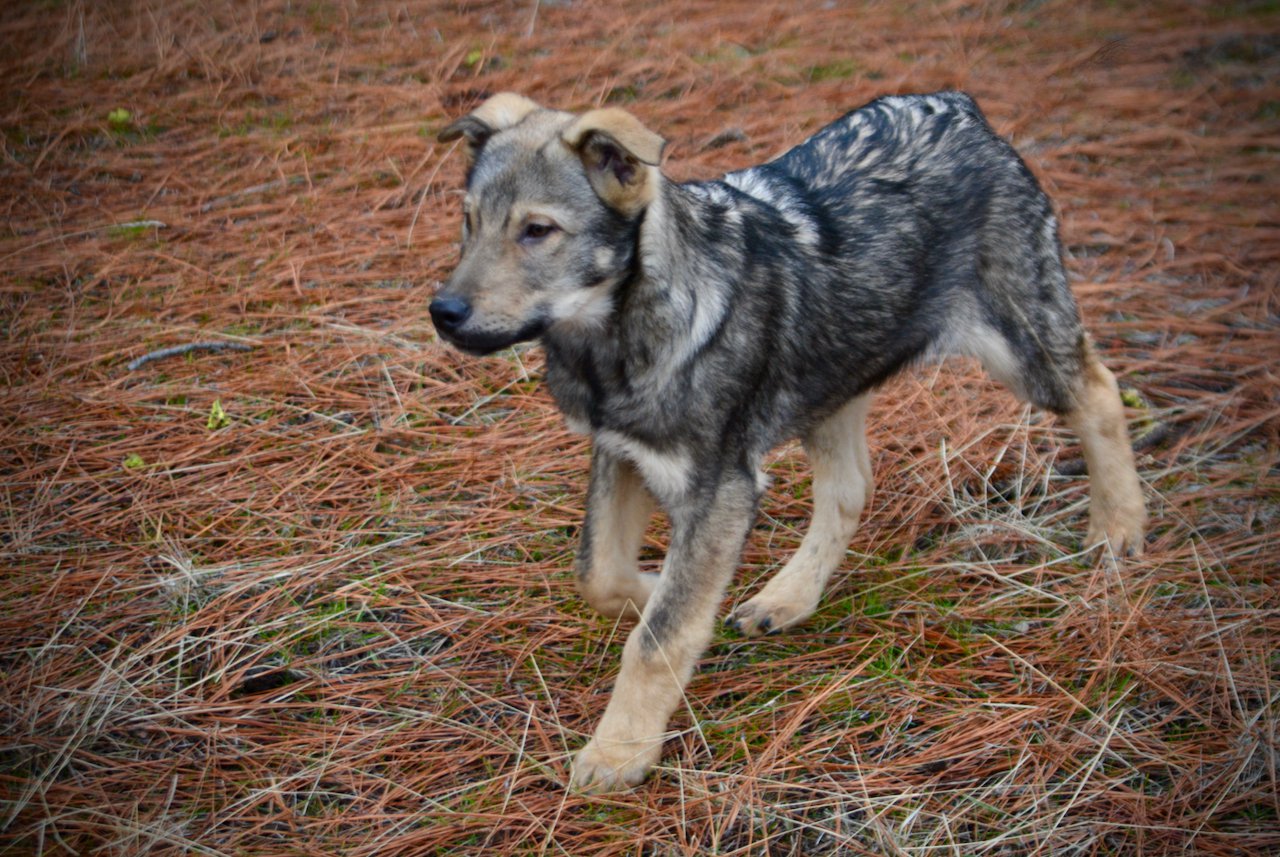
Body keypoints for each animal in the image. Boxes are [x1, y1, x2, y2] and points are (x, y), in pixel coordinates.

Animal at [430, 90, 1152, 798]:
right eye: (467, 222)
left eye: (537, 230)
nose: (444, 312)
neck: (615, 346)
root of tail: (961, 107)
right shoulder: (621, 453)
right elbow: (598, 574)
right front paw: (649, 587)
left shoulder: (720, 488)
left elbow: (658, 639)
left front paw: (619, 750)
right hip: (832, 381)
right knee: (851, 488)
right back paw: (787, 598)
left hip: (1020, 352)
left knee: (1100, 391)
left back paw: (1118, 526)